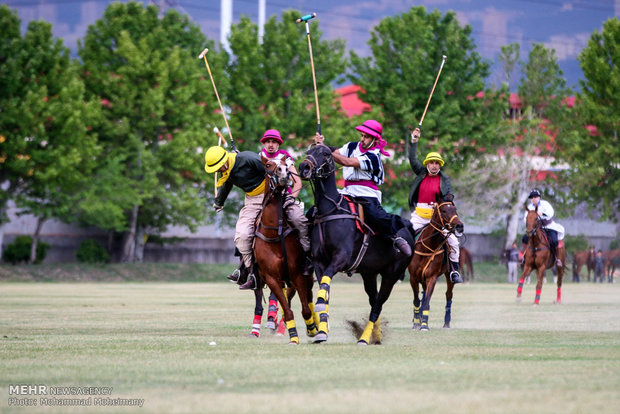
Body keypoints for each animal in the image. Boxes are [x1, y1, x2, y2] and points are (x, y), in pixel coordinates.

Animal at [253, 155, 320, 342]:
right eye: (268, 165)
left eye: (285, 165)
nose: (283, 174)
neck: (275, 232)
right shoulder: (271, 278)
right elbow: (288, 310)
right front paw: (293, 337)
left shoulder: (297, 273)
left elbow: (305, 309)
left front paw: (311, 329)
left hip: (304, 277)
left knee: (309, 298)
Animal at [298, 144, 414, 344]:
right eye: (308, 152)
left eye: (326, 154)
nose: (304, 167)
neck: (331, 210)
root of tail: (409, 230)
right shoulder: (319, 262)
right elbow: (325, 289)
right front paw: (321, 332)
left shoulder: (341, 258)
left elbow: (325, 287)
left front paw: (320, 315)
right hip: (369, 273)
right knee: (374, 300)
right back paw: (375, 337)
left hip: (391, 275)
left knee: (378, 305)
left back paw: (365, 338)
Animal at [406, 192, 464, 332]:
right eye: (444, 210)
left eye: (455, 209)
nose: (460, 226)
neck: (428, 245)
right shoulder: (413, 277)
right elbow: (417, 300)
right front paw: (417, 323)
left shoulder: (431, 277)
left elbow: (427, 301)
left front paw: (424, 325)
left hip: (448, 277)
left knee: (448, 295)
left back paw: (446, 323)